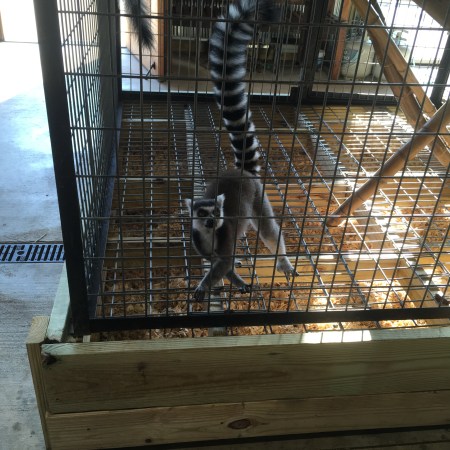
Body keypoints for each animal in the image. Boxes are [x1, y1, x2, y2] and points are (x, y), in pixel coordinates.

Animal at [185, 0, 297, 302]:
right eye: (202, 213)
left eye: (216, 211)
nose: (213, 221)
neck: (210, 236)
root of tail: (242, 171)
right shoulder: (199, 242)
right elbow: (222, 264)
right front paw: (235, 280)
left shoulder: (224, 237)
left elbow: (222, 263)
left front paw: (204, 286)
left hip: (259, 198)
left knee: (269, 231)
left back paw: (283, 260)